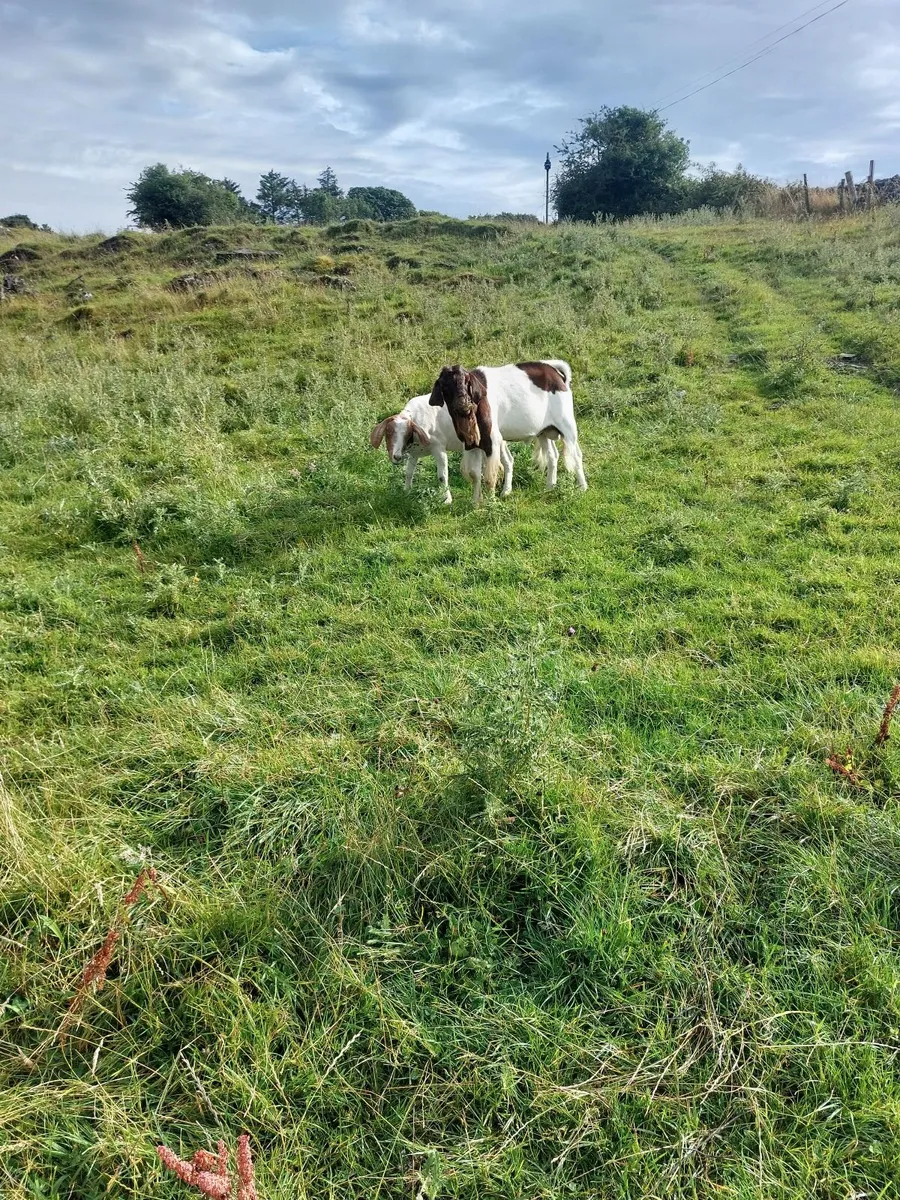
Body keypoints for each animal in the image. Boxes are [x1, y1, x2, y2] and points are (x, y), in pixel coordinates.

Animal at [428, 359, 587, 494]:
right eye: (444, 385)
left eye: (467, 381)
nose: (463, 404)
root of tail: (554, 371)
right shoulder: (471, 444)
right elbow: (476, 475)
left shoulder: (492, 439)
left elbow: (490, 476)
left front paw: (491, 503)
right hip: (544, 432)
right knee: (552, 455)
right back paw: (549, 487)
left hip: (567, 425)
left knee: (577, 454)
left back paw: (583, 487)